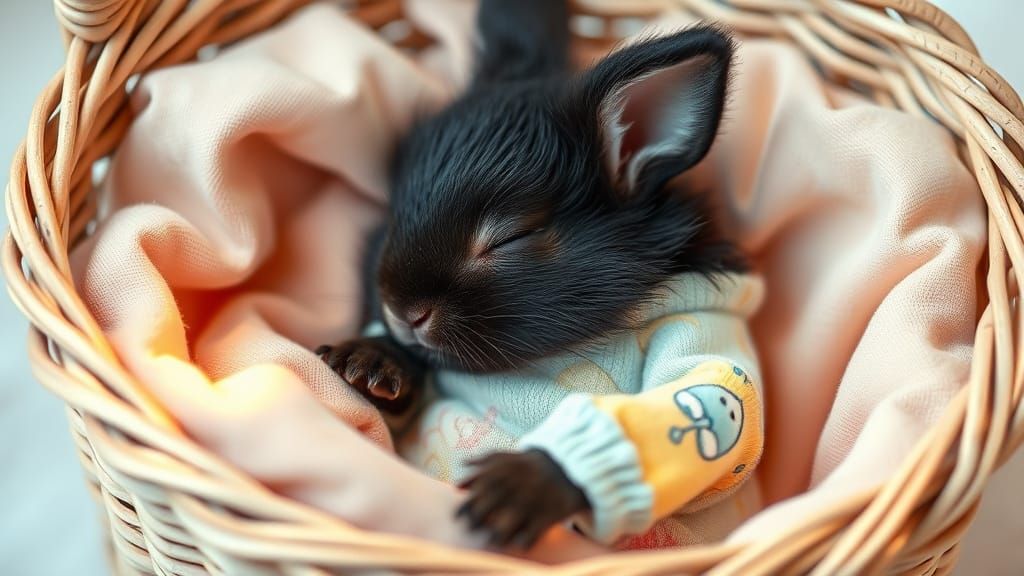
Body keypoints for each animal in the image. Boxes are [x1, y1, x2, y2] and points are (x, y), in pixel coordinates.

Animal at [316, 0, 741, 550]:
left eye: (510, 238)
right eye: (393, 216)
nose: (402, 312)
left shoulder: (706, 330)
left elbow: (689, 394)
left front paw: (518, 489)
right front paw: (370, 363)